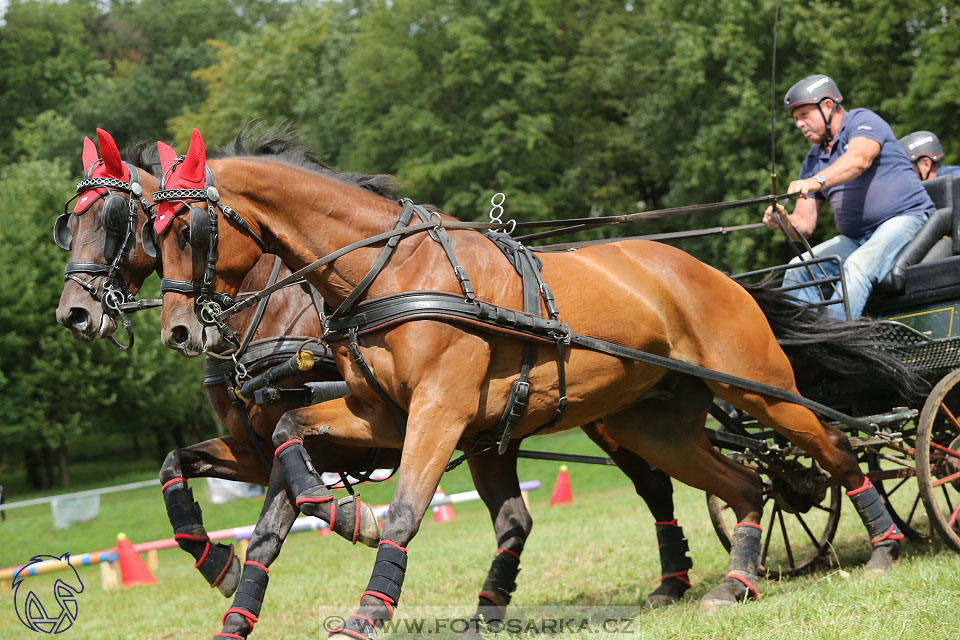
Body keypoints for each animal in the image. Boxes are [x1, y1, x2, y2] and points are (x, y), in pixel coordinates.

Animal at [52, 127, 692, 636]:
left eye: (119, 222)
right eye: (70, 224)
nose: (74, 314)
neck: (283, 308)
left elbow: (299, 496)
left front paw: (351, 520)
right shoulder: (258, 451)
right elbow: (199, 482)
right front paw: (223, 573)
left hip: (607, 418)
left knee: (655, 484)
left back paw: (674, 579)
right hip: (496, 437)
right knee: (517, 520)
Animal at [150, 129, 916, 636]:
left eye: (186, 228)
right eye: (149, 233)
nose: (179, 330)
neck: (390, 273)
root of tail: (713, 273)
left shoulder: (438, 412)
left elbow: (404, 511)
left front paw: (366, 606)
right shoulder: (380, 416)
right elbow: (287, 437)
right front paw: (330, 516)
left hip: (759, 388)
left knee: (833, 449)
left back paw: (885, 548)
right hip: (652, 423)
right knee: (745, 485)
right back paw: (733, 583)